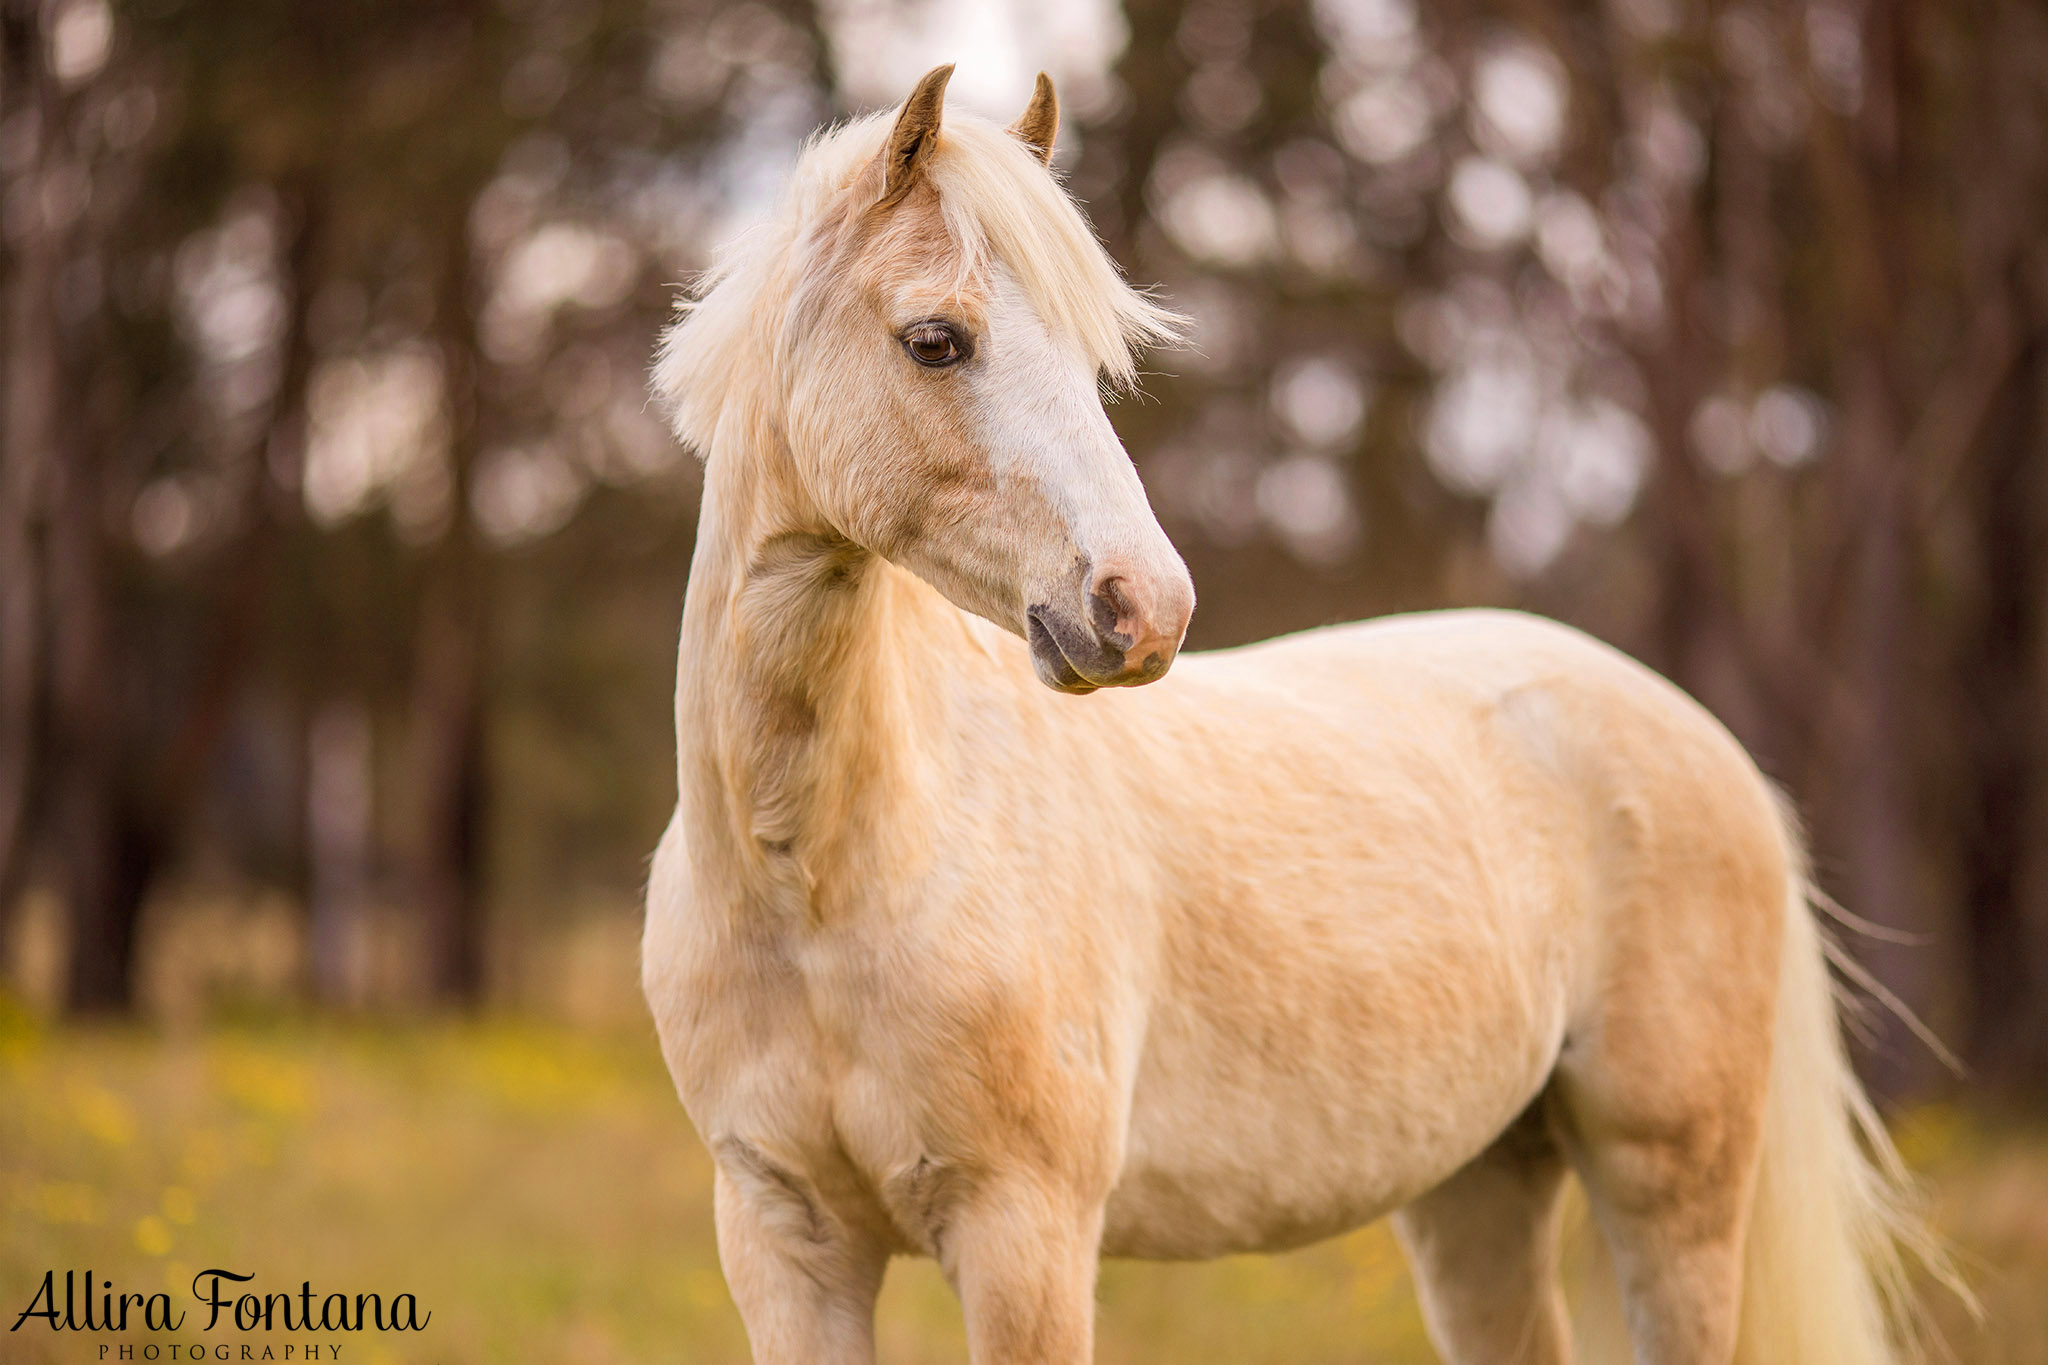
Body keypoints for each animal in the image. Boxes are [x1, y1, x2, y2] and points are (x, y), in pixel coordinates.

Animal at [638, 69, 1933, 1365]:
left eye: (1090, 359)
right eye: (934, 342)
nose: (1142, 609)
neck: (825, 882)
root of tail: (1707, 746)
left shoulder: (1024, 1236)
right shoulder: (786, 1243)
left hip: (1670, 1190)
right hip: (1479, 1185)